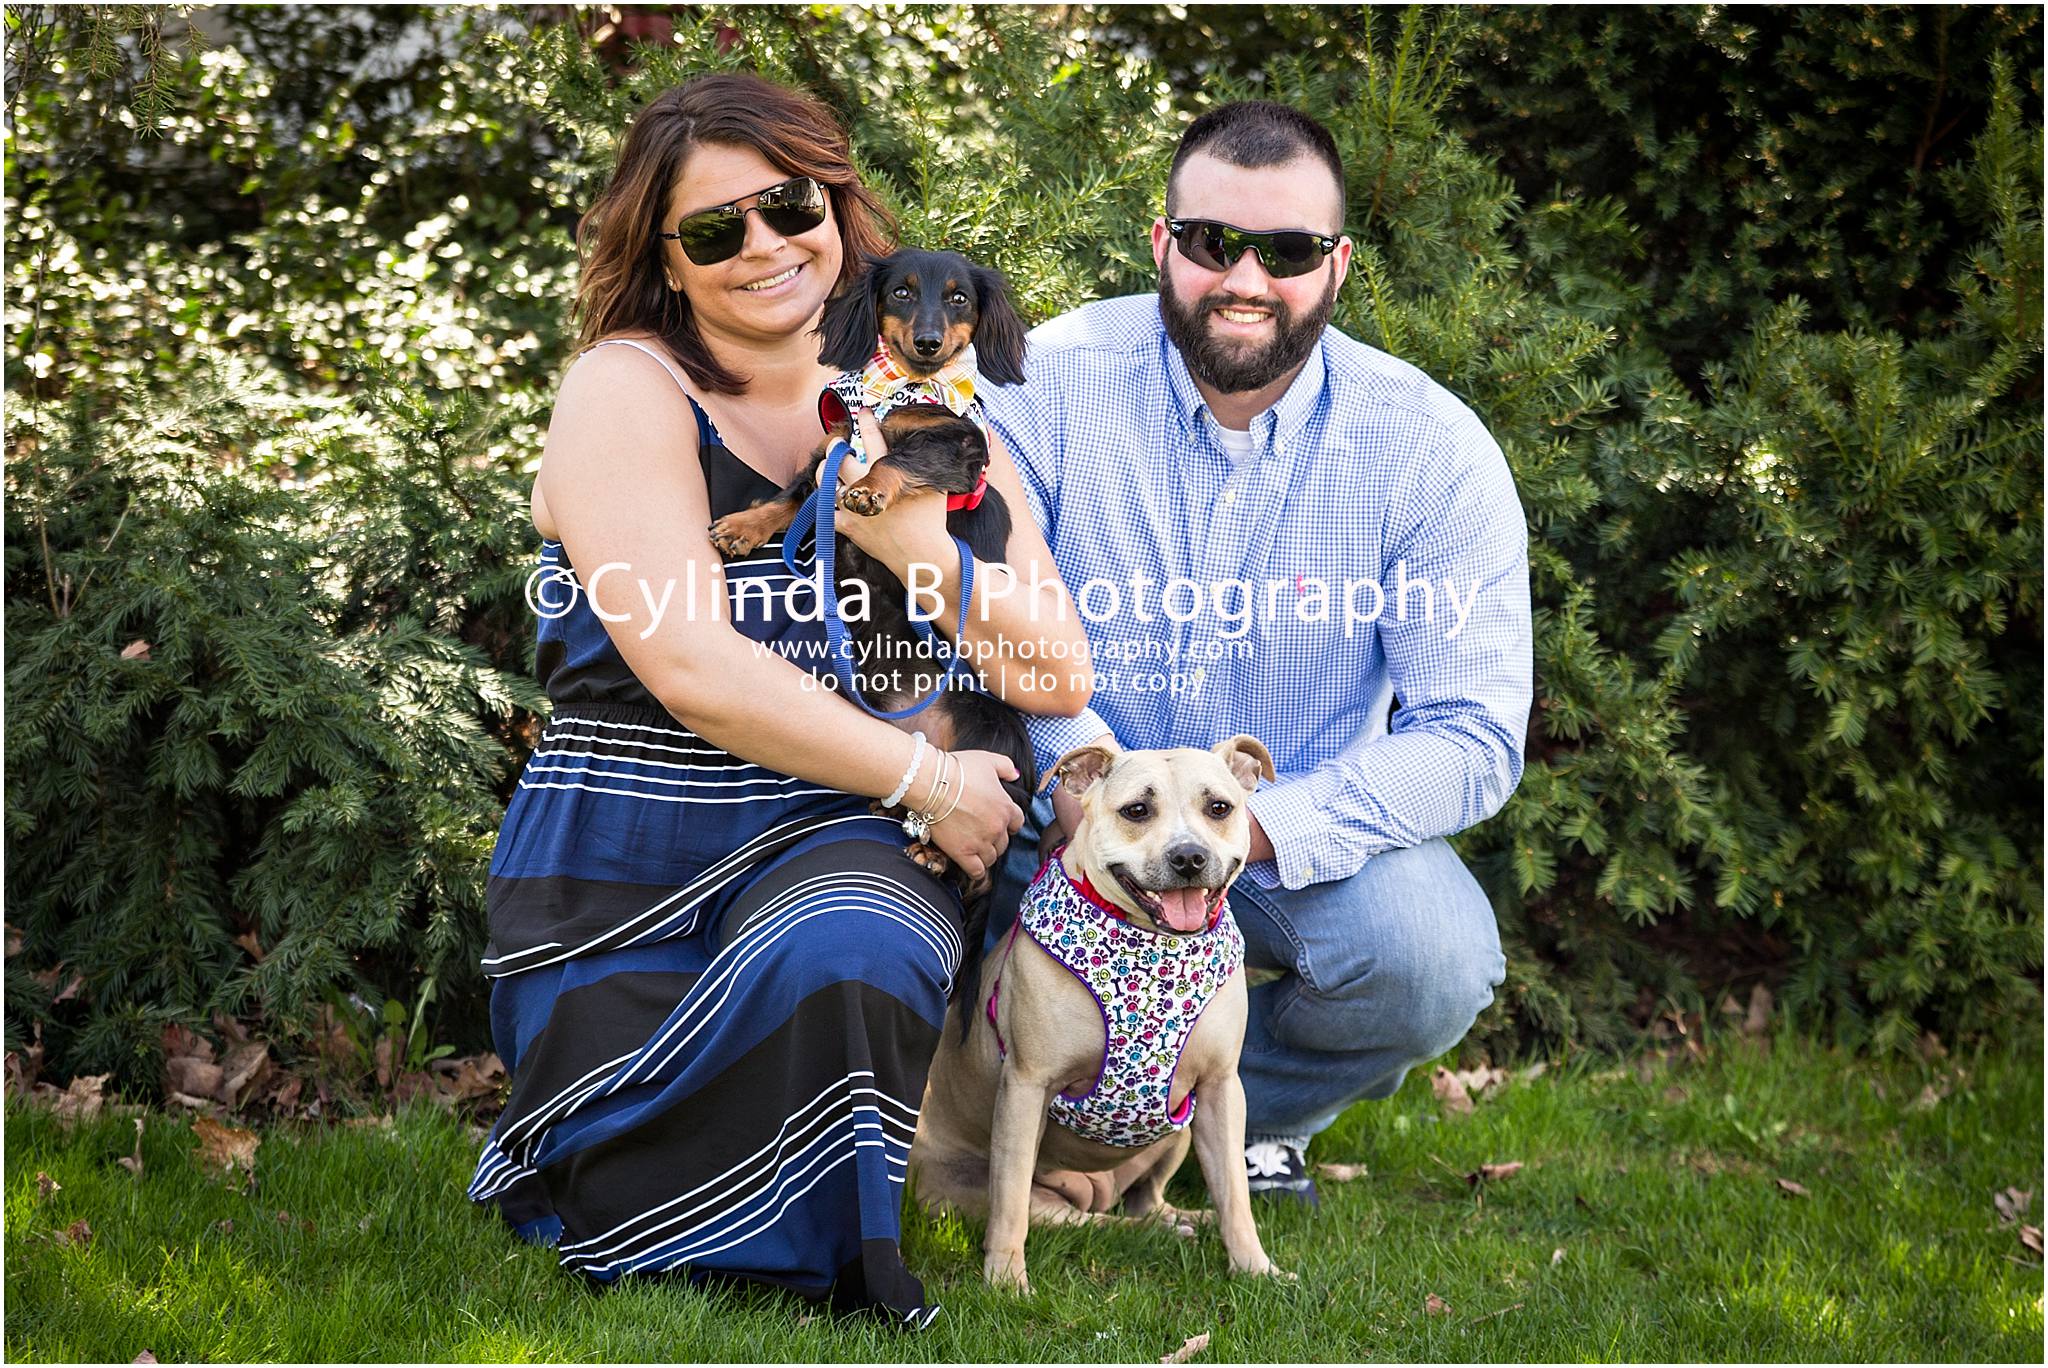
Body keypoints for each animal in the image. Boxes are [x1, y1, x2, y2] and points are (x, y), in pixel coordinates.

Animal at [706, 248, 1036, 1015]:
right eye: (903, 293)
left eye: (959, 299)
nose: (928, 344)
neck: (902, 393)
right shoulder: (835, 444)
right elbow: (800, 488)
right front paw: (746, 526)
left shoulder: (955, 447)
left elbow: (896, 459)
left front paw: (870, 492)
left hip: (994, 741)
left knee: (982, 866)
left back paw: (937, 854)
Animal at [908, 736, 1289, 1293]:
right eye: (1136, 810)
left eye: (1219, 808)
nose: (1189, 856)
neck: (1154, 953)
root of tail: (1098, 1187)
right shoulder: (1026, 1086)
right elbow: (1009, 1204)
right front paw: (1005, 1281)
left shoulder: (1221, 1089)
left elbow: (1235, 1195)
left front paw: (1256, 1268)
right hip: (996, 1189)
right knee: (1083, 1220)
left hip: (1178, 1131)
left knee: (1144, 1201)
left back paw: (1182, 1220)